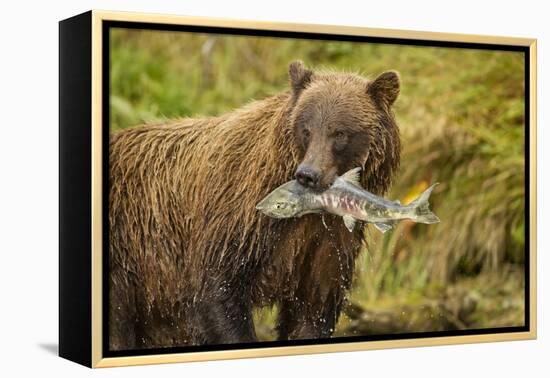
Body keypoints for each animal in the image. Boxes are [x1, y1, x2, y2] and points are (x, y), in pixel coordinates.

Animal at [109, 60, 402, 350]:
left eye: (340, 133)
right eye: (306, 129)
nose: (308, 174)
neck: (312, 211)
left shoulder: (329, 242)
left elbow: (314, 307)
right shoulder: (236, 217)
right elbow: (219, 292)